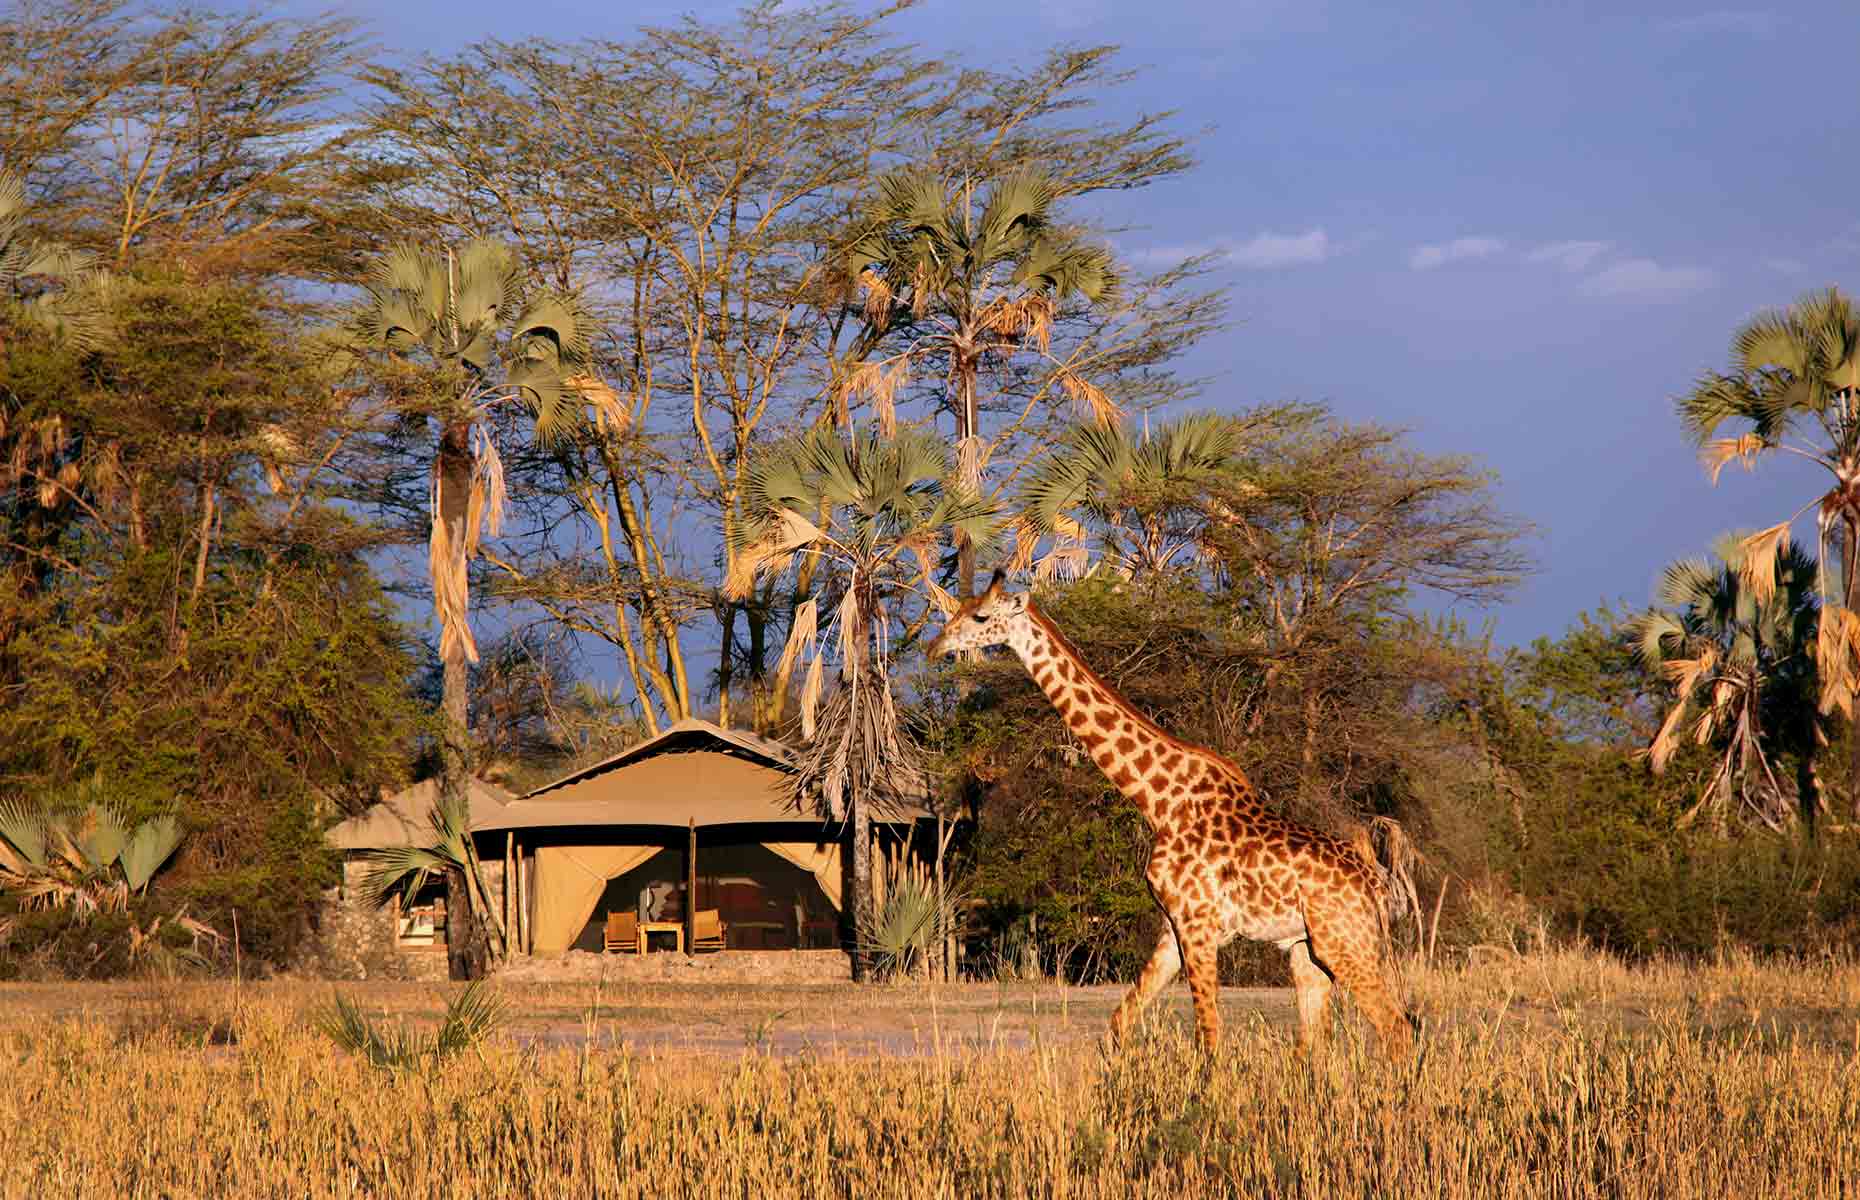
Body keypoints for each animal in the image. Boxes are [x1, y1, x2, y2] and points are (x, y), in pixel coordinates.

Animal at [930, 573, 1406, 1056]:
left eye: (980, 616)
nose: (935, 647)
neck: (1159, 802)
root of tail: (1379, 886)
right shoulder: (1172, 926)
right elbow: (1118, 1024)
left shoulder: (1198, 924)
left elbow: (1210, 1037)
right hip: (1307, 948)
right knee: (1315, 1043)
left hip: (1345, 941)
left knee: (1397, 1029)